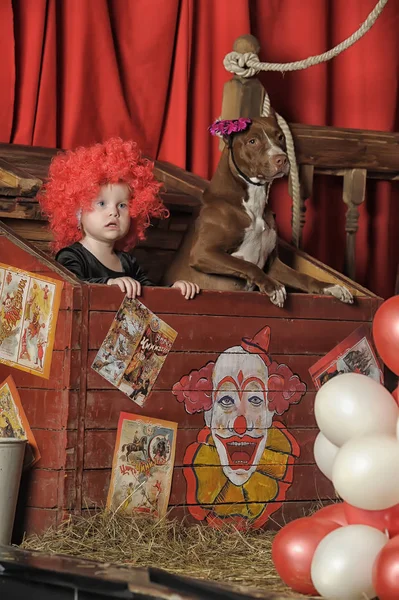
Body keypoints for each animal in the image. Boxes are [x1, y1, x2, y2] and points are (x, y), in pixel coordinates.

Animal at [165, 115, 354, 308]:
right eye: (252, 141)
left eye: (280, 137)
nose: (281, 159)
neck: (252, 203)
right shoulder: (203, 252)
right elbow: (248, 265)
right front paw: (273, 287)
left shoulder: (274, 265)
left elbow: (303, 277)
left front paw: (330, 287)